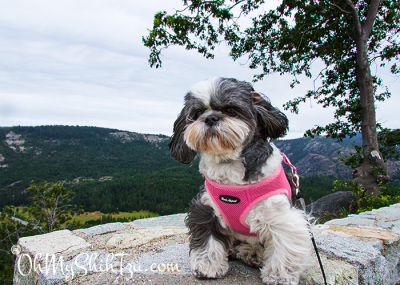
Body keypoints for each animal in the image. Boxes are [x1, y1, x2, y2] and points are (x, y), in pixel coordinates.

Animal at [169, 76, 312, 282]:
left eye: (231, 110)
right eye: (197, 113)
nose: (210, 118)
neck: (229, 163)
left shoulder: (283, 217)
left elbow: (284, 249)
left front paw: (279, 276)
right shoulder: (205, 208)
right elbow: (208, 240)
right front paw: (207, 266)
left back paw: (252, 253)